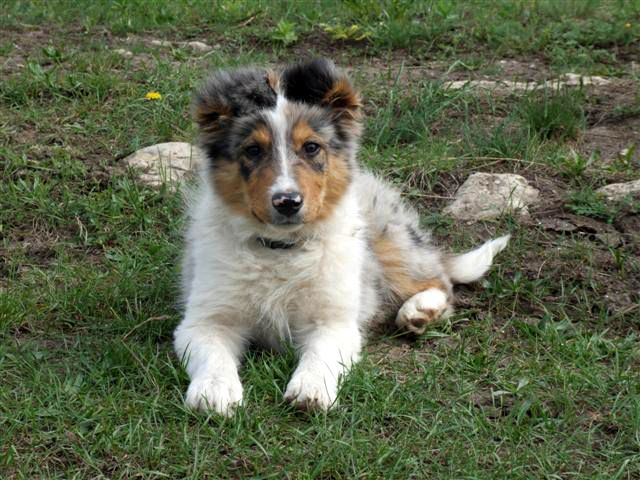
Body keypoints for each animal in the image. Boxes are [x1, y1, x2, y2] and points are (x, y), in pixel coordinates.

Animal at [172, 58, 508, 414]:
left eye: (311, 147)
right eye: (252, 150)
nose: (287, 202)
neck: (282, 248)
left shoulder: (334, 320)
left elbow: (321, 356)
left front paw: (311, 389)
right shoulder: (205, 319)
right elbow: (214, 355)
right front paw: (213, 392)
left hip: (389, 240)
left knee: (439, 280)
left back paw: (419, 311)